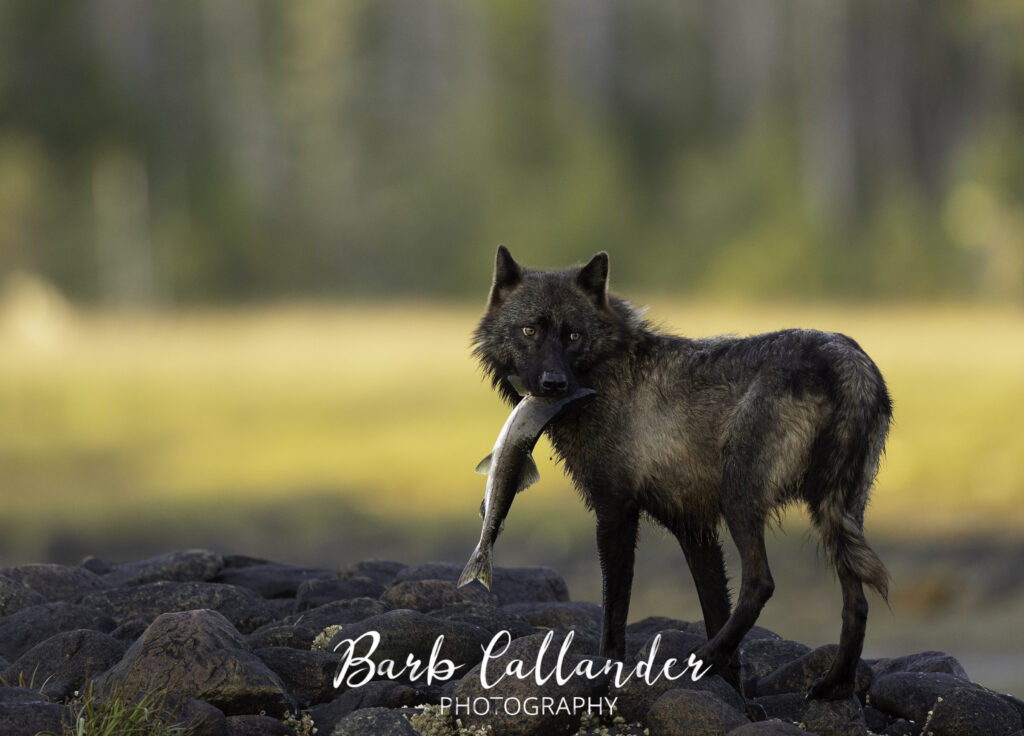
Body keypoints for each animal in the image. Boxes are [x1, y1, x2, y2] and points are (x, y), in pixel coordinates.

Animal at [472, 245, 892, 700]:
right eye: (530, 331)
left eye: (573, 335)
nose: (554, 383)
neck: (608, 372)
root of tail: (847, 359)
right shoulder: (694, 528)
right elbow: (714, 608)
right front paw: (733, 691)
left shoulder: (615, 512)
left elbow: (614, 609)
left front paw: (607, 671)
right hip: (838, 514)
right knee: (857, 602)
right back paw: (834, 684)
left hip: (741, 498)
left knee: (761, 582)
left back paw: (702, 660)